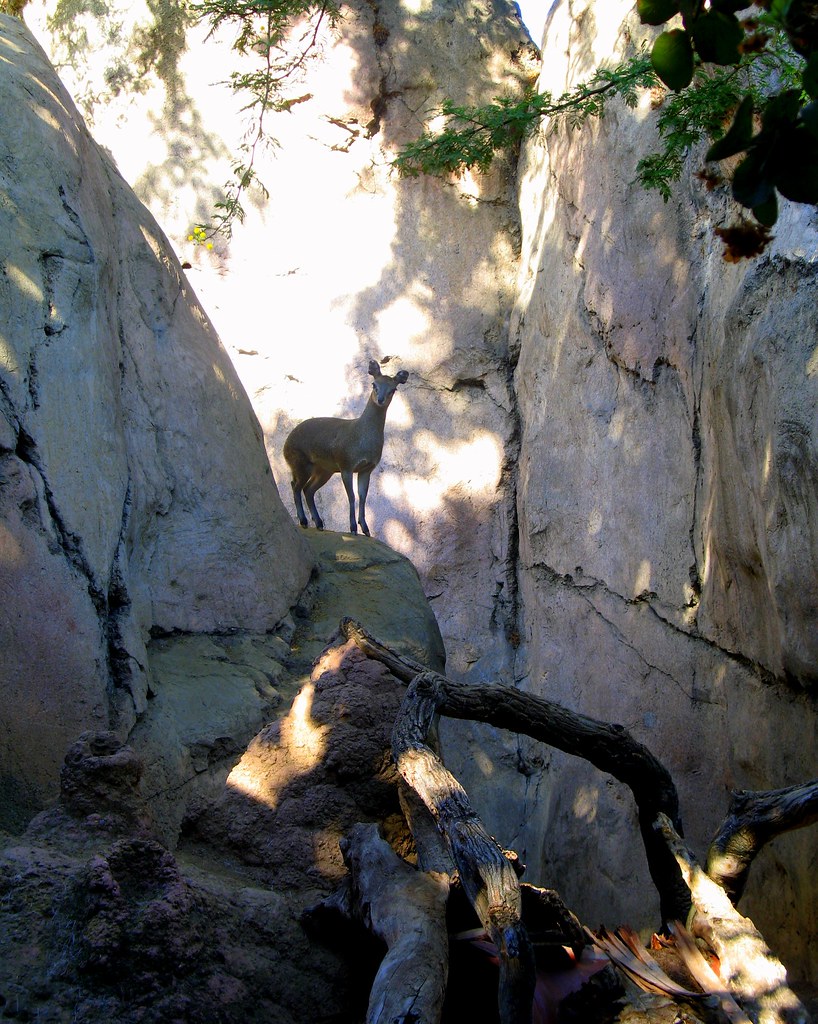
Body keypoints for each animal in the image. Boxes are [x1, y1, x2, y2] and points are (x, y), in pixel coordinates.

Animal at [283, 360, 409, 536]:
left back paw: (319, 523)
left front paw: (366, 529)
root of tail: (285, 444)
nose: (380, 399)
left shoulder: (367, 469)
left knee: (308, 489)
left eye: (393, 389)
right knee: (295, 485)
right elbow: (352, 496)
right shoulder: (346, 465)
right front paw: (353, 528)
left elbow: (363, 497)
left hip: (324, 470)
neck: (362, 441)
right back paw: (304, 521)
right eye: (374, 384)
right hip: (300, 462)